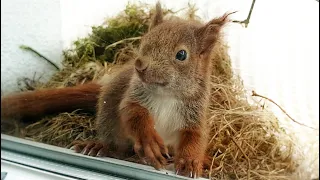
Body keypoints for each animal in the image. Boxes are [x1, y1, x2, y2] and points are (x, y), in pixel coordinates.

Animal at [1, 2, 232, 179]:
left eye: (181, 55)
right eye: (144, 41)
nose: (140, 65)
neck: (166, 95)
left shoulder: (195, 112)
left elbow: (195, 137)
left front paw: (192, 162)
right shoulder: (133, 96)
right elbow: (132, 113)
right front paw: (149, 141)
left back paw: (204, 160)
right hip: (110, 118)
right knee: (118, 148)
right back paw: (100, 147)